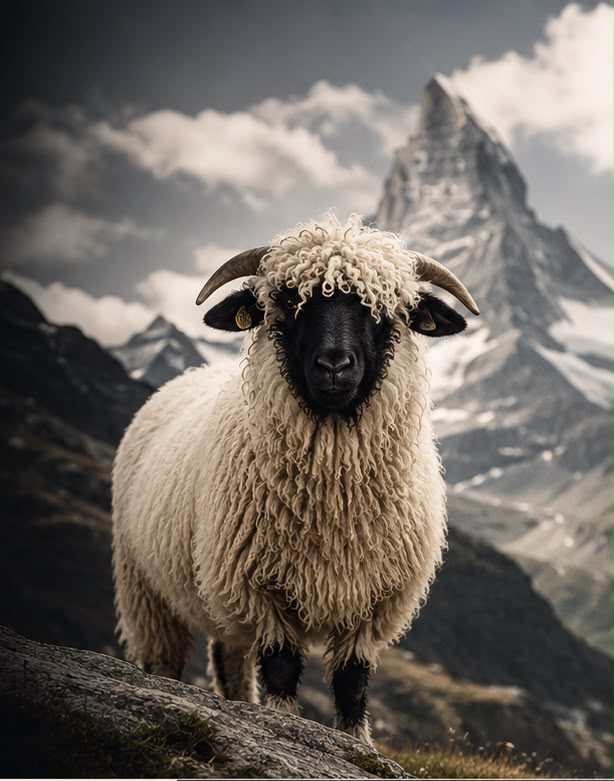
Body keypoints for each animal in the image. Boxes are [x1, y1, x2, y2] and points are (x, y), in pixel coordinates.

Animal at [112, 212, 479, 744]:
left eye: (386, 309)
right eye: (289, 302)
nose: (334, 365)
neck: (332, 494)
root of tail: (189, 375)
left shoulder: (373, 602)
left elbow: (351, 683)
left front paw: (356, 744)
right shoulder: (258, 589)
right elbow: (283, 669)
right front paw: (283, 727)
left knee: (229, 660)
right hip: (146, 590)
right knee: (165, 659)